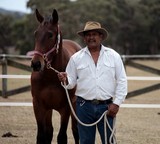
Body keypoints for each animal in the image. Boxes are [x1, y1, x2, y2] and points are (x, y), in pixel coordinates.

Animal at [31, 9, 81, 144]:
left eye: (50, 35)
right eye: (36, 34)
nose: (36, 64)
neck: (50, 78)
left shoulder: (66, 107)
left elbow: (62, 136)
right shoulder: (38, 105)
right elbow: (41, 136)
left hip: (74, 106)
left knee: (76, 130)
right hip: (48, 110)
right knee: (49, 131)